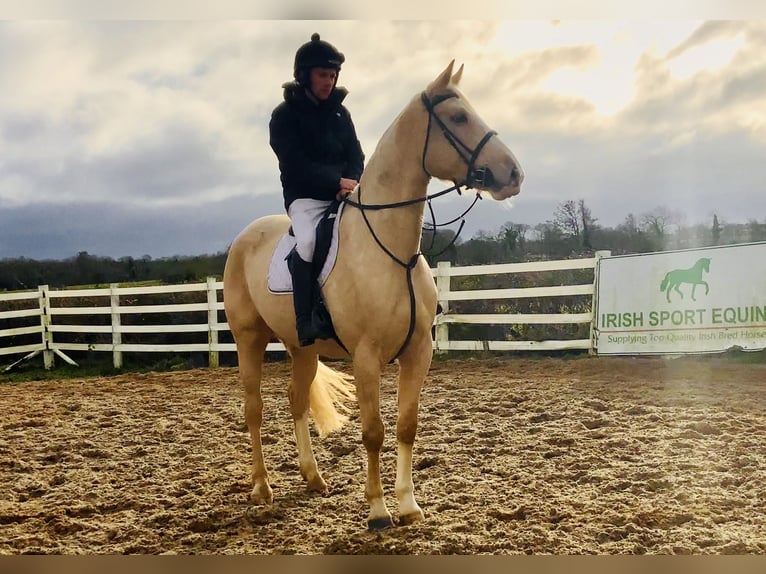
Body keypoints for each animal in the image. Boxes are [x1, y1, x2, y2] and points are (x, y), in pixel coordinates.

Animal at [223, 60, 524, 530]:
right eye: (458, 118)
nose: (512, 173)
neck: (392, 250)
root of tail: (243, 237)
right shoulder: (366, 356)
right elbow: (373, 432)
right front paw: (379, 511)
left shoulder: (418, 352)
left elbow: (406, 426)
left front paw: (408, 505)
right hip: (248, 340)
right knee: (253, 409)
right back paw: (261, 488)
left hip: (302, 349)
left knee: (295, 401)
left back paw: (313, 478)